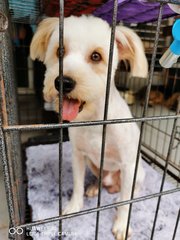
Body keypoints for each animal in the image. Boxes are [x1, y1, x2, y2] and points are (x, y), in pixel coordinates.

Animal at [29, 15, 148, 240]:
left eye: (96, 56)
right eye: (60, 51)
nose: (63, 82)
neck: (95, 120)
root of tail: (112, 185)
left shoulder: (128, 164)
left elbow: (126, 202)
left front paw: (122, 225)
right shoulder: (78, 154)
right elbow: (77, 184)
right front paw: (74, 206)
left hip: (136, 172)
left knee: (131, 191)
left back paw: (123, 196)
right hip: (95, 165)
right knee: (100, 180)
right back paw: (95, 188)